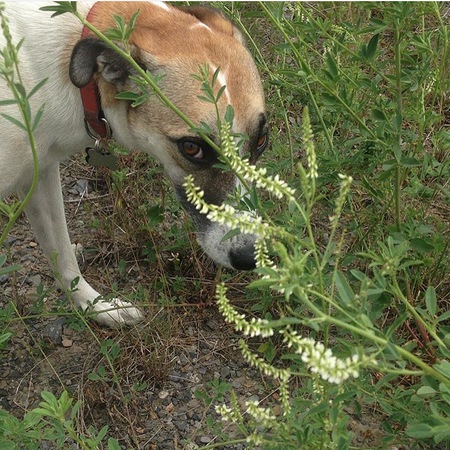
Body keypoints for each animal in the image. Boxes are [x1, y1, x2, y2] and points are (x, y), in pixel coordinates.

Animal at [0, 2, 268, 326]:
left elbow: (64, 258)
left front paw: (97, 307)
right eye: (192, 148)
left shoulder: (40, 174)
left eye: (261, 139)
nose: (249, 257)